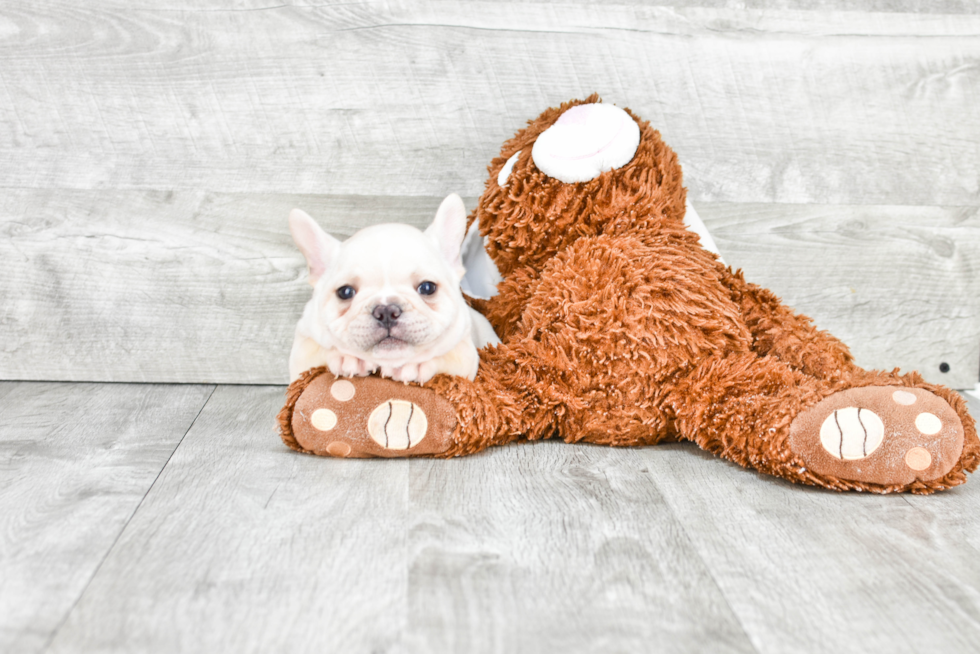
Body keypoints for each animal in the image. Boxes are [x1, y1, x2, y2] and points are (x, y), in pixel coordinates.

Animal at [284, 195, 498, 386]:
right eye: (345, 292)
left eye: (427, 288)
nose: (386, 311)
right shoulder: (302, 349)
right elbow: (316, 351)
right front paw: (348, 358)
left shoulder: (464, 351)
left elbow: (449, 356)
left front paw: (415, 365)